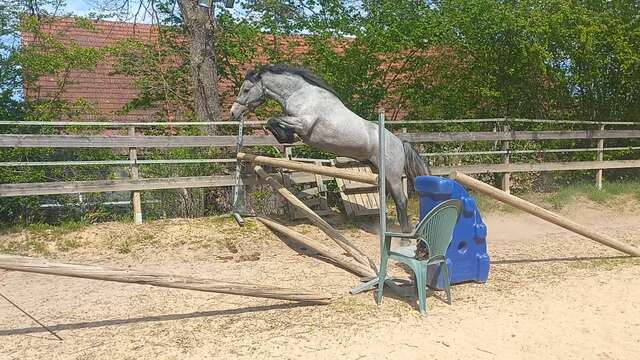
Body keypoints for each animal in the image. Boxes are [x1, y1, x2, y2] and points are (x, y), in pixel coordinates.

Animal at [230, 64, 430, 233]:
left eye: (246, 89)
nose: (233, 113)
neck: (300, 94)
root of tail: (400, 143)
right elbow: (273, 123)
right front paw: (286, 137)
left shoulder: (302, 123)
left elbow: (272, 119)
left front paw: (287, 136)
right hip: (378, 171)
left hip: (392, 175)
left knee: (401, 201)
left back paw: (404, 235)